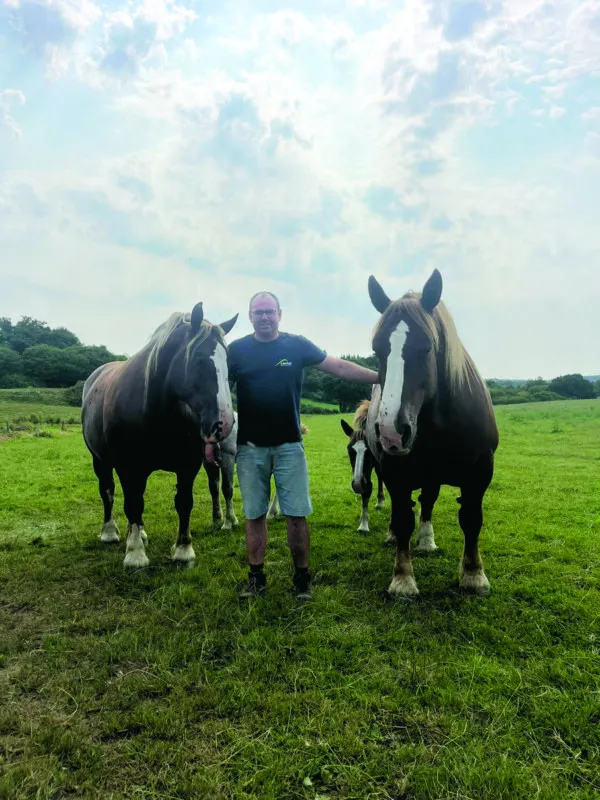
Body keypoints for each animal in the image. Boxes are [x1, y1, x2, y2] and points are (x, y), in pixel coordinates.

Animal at [81, 303, 238, 569]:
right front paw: (135, 555)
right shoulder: (128, 465)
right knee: (108, 491)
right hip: (100, 460)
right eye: (199, 360)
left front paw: (184, 551)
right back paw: (111, 532)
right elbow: (132, 503)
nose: (225, 424)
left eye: (228, 362)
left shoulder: (188, 465)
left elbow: (184, 502)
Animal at [367, 269, 499, 597]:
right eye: (377, 350)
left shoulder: (480, 471)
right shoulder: (396, 472)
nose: (392, 431)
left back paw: (426, 540)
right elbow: (403, 518)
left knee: (428, 501)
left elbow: (471, 518)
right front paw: (403, 579)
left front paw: (473, 575)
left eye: (426, 347)